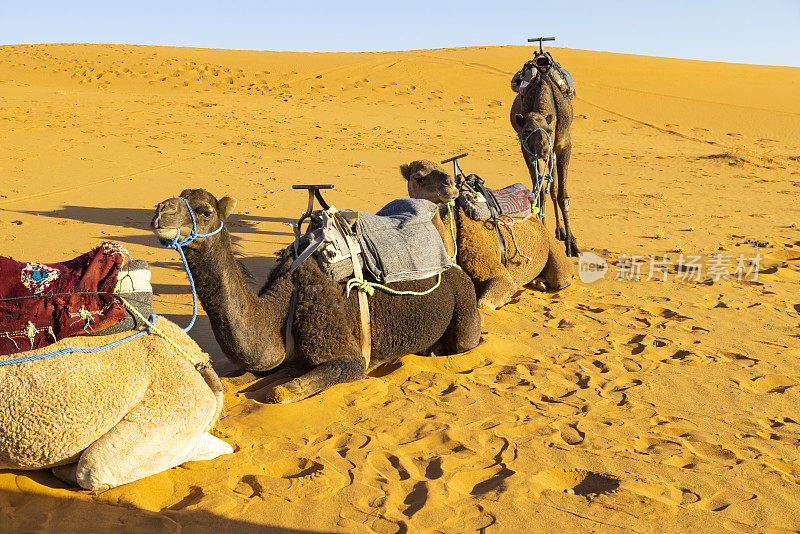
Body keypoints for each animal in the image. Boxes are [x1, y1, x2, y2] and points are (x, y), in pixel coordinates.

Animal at [148, 191, 482, 404]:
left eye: (205, 211)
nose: (162, 212)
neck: (281, 307)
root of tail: (453, 265)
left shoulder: (349, 359)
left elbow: (280, 392)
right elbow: (236, 381)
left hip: (465, 309)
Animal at [512, 69, 580, 258]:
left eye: (549, 130)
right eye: (528, 130)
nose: (543, 149)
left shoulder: (563, 145)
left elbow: (563, 195)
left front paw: (572, 245)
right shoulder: (527, 149)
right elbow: (540, 191)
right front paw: (542, 230)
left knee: (555, 188)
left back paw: (562, 233)